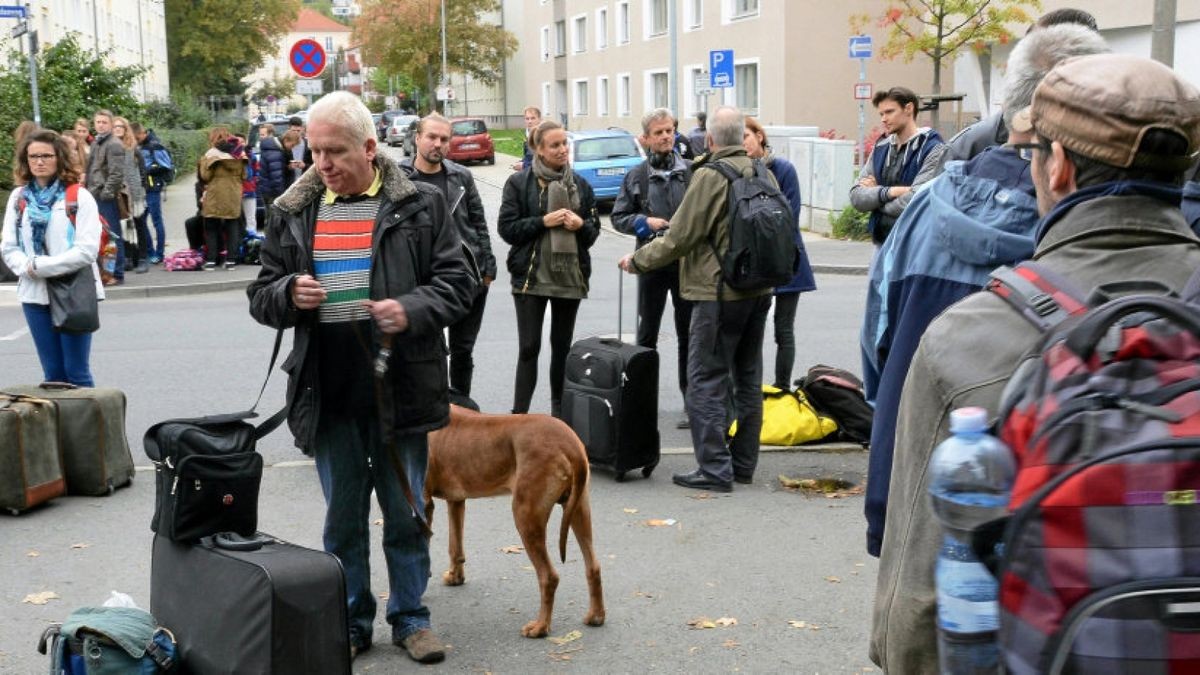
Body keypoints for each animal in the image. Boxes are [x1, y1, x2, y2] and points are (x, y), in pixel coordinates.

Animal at [424, 403, 609, 634]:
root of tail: (570, 443)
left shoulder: (423, 503)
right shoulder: (456, 500)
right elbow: (455, 547)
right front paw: (455, 577)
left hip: (525, 514)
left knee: (549, 576)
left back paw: (540, 627)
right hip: (578, 508)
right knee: (593, 566)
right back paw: (596, 616)